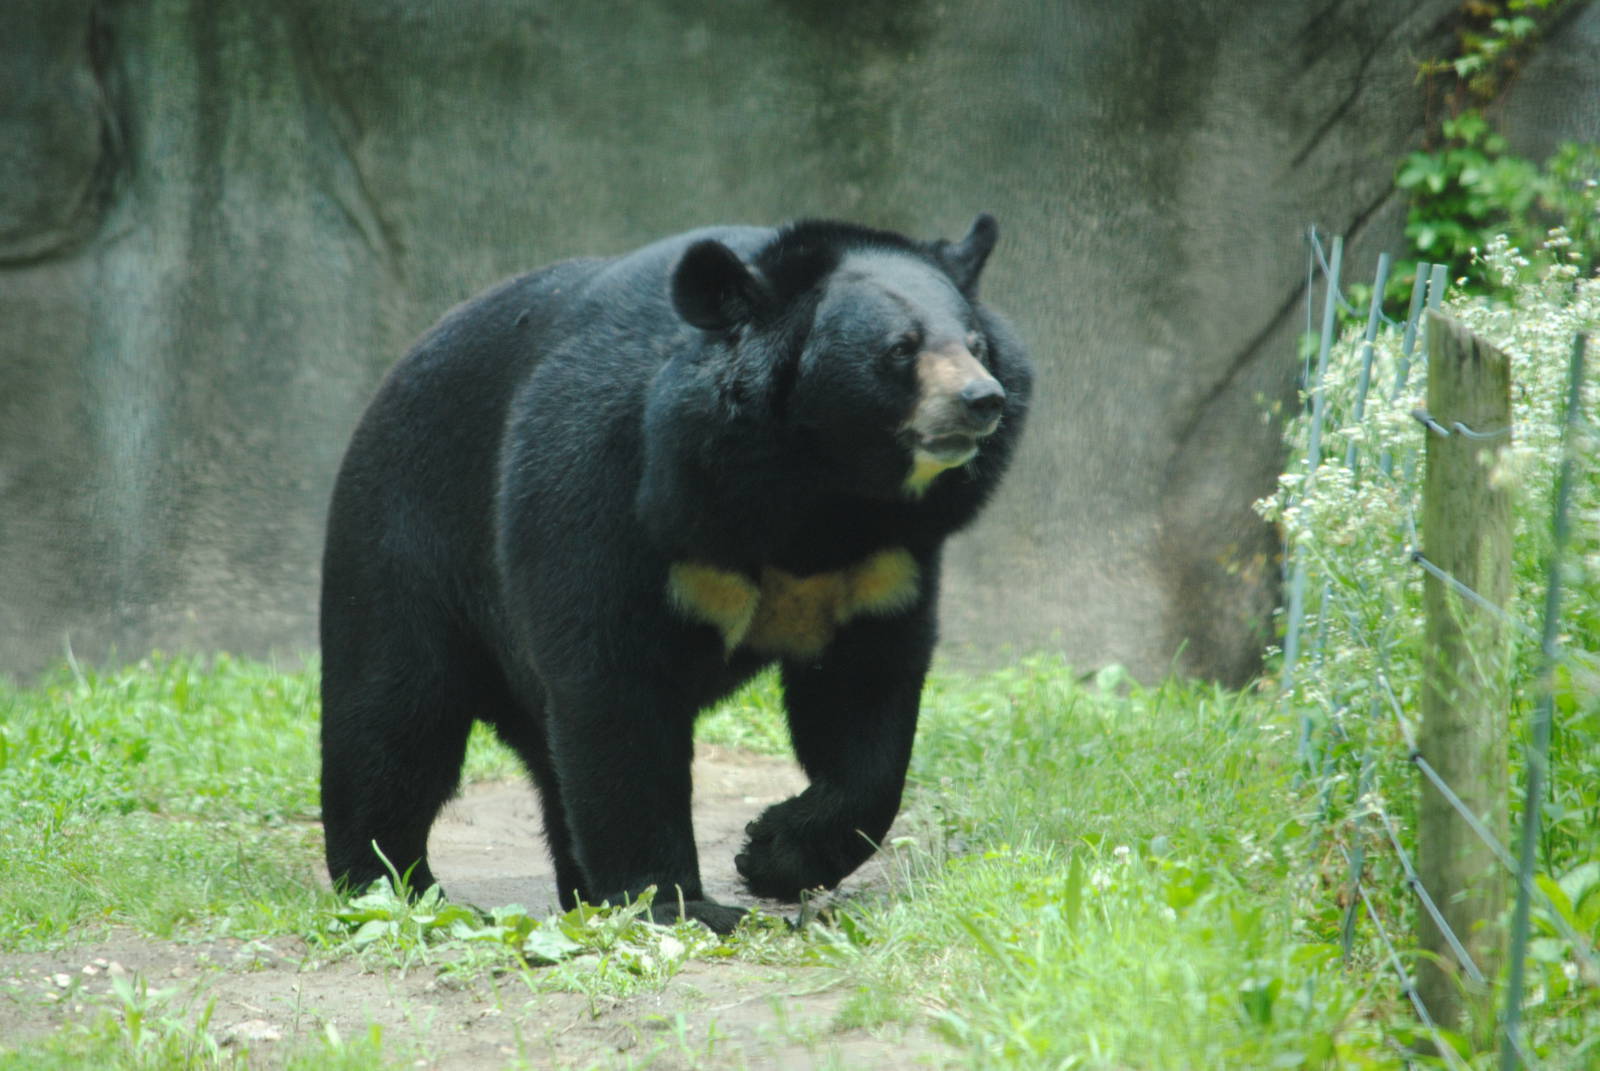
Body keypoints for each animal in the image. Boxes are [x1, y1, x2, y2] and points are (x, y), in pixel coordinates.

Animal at [319, 215, 1032, 934]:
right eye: (900, 349)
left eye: (976, 344)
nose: (981, 399)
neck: (815, 486)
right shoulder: (614, 484)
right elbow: (616, 687)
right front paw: (675, 902)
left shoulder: (884, 556)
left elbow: (866, 695)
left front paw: (774, 851)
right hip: (406, 538)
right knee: (395, 716)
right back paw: (392, 883)